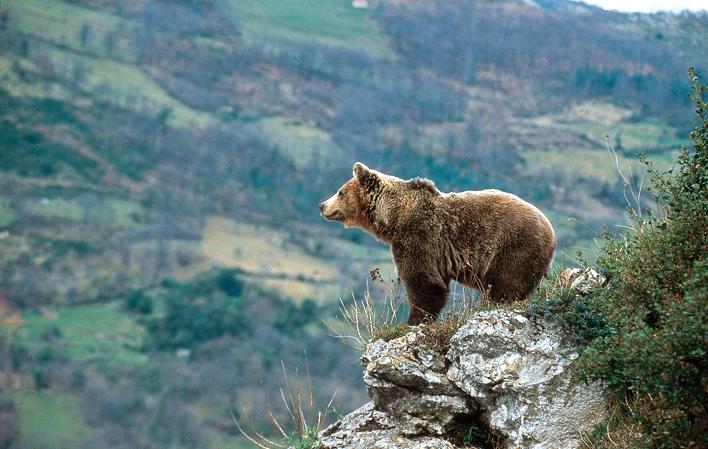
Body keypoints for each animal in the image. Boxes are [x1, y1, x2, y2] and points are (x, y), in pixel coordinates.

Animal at [319, 162, 556, 325]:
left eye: (340, 191)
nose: (322, 205)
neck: (394, 218)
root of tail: (551, 231)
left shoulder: (419, 237)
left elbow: (423, 280)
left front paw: (412, 321)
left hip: (514, 247)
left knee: (507, 284)